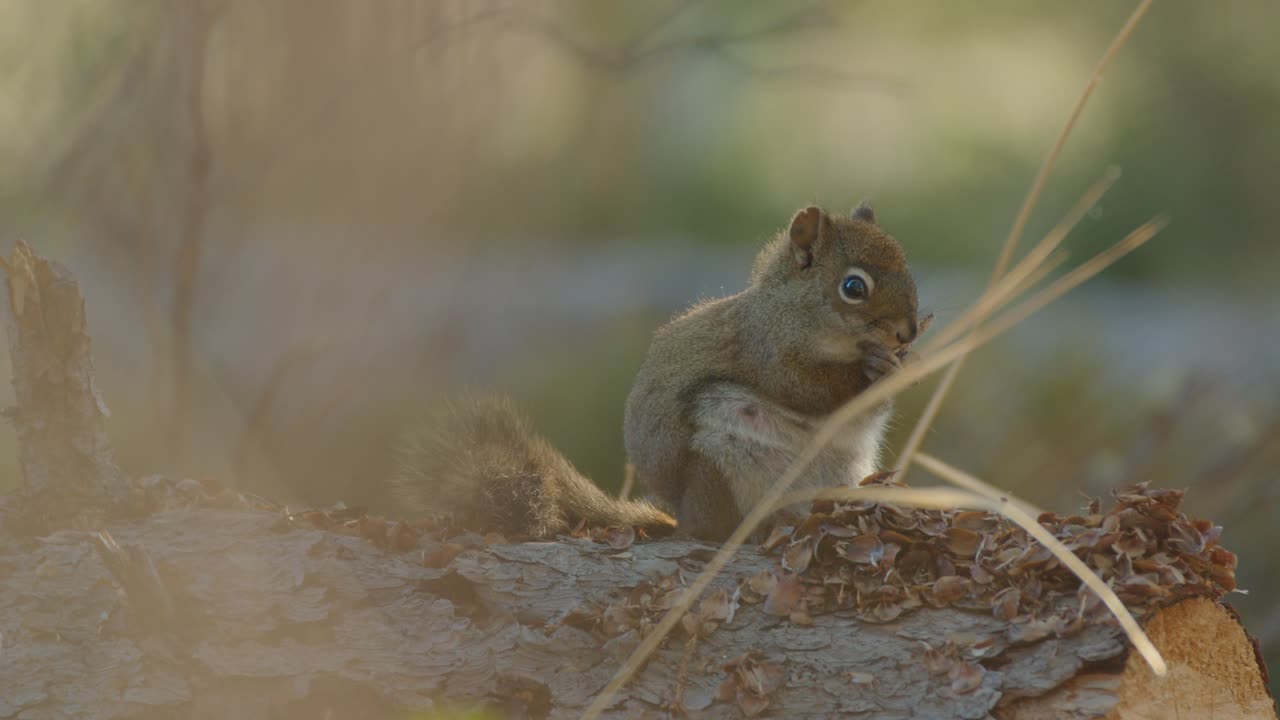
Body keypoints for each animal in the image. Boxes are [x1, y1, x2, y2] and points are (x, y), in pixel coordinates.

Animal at [391, 202, 920, 541]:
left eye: (907, 267)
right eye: (854, 287)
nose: (909, 332)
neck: (800, 313)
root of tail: (680, 515)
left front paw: (901, 367)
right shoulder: (765, 348)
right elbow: (805, 389)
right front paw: (873, 371)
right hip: (718, 456)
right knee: (712, 526)